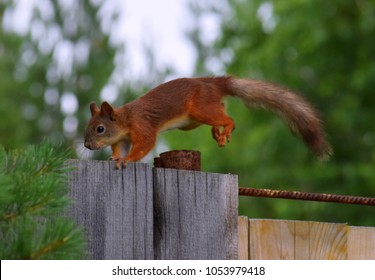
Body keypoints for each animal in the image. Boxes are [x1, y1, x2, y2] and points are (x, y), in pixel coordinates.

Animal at [84, 76, 332, 168]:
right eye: (88, 128)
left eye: (100, 128)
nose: (87, 145)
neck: (125, 119)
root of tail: (213, 83)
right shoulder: (123, 138)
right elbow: (119, 147)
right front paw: (115, 157)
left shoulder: (142, 127)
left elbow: (144, 144)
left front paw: (127, 160)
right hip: (194, 120)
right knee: (221, 110)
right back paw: (216, 131)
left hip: (200, 109)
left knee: (228, 118)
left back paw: (226, 129)